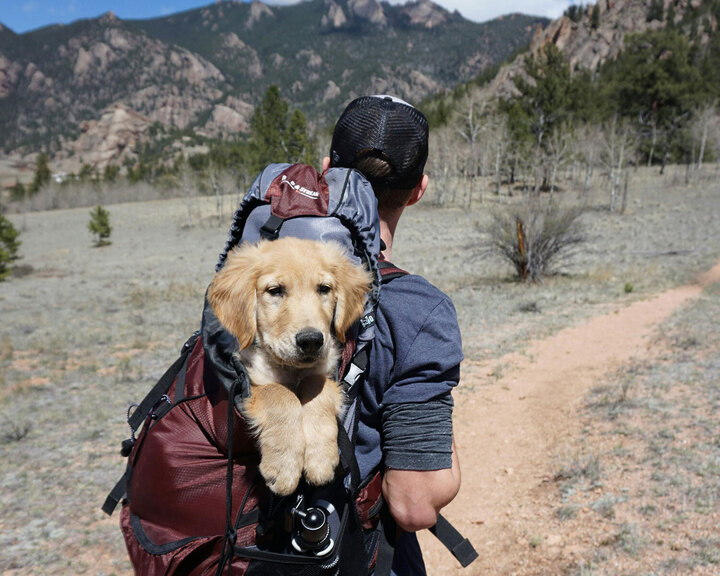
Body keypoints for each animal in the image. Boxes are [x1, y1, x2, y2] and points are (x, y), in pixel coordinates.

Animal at [205, 237, 368, 496]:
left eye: (324, 288)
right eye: (275, 291)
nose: (311, 340)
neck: (292, 369)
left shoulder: (325, 371)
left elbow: (317, 386)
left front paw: (320, 458)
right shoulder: (250, 380)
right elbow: (280, 394)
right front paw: (284, 466)